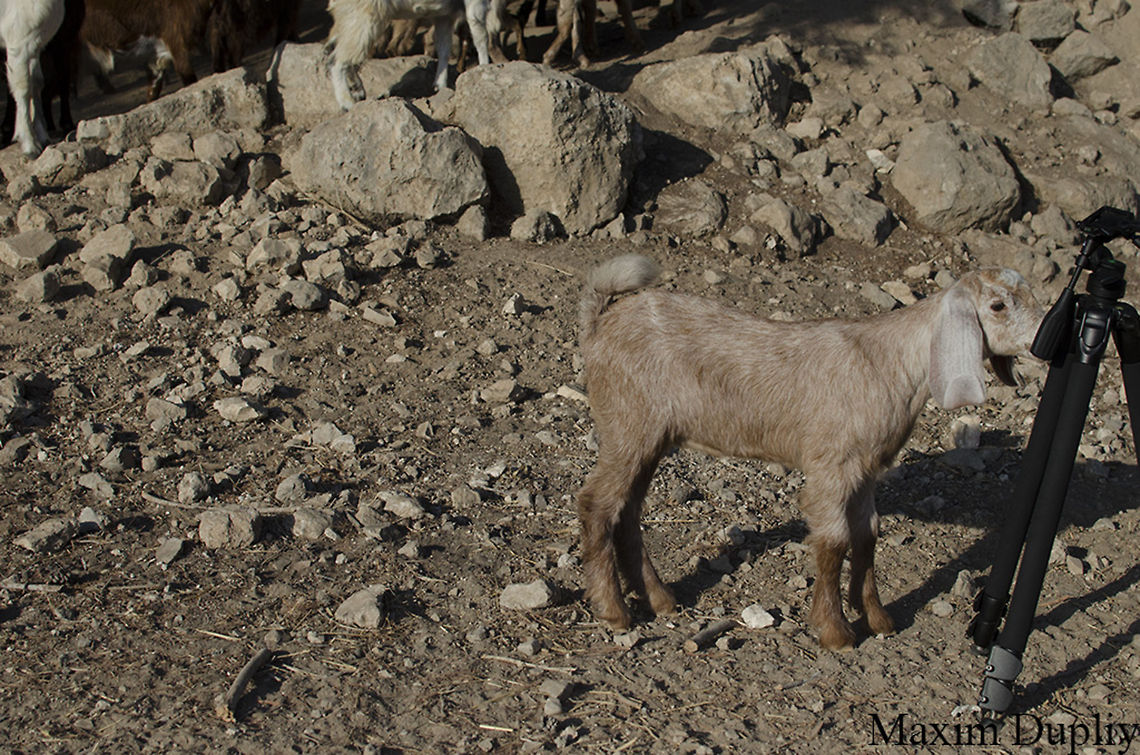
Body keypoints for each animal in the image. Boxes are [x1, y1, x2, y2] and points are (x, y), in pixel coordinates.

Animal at [0, 0, 64, 156]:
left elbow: (36, 83)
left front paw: (43, 138)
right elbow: (23, 87)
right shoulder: (20, 43)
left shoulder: (35, 47)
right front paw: (30, 145)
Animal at [326, 0, 498, 110]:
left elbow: (444, 47)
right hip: (364, 18)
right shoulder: (475, 4)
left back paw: (358, 91)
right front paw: (484, 69)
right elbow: (481, 37)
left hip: (348, 19)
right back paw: (347, 103)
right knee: (337, 61)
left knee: (333, 52)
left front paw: (439, 86)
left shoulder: (445, 15)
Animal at [576, 255, 1043, 650]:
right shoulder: (831, 465)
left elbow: (868, 534)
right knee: (597, 502)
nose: (1041, 339)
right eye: (998, 305)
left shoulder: (865, 469)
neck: (890, 362)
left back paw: (658, 598)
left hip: (647, 436)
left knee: (627, 509)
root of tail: (599, 323)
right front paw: (835, 630)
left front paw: (877, 617)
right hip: (627, 425)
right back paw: (613, 610)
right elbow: (835, 542)